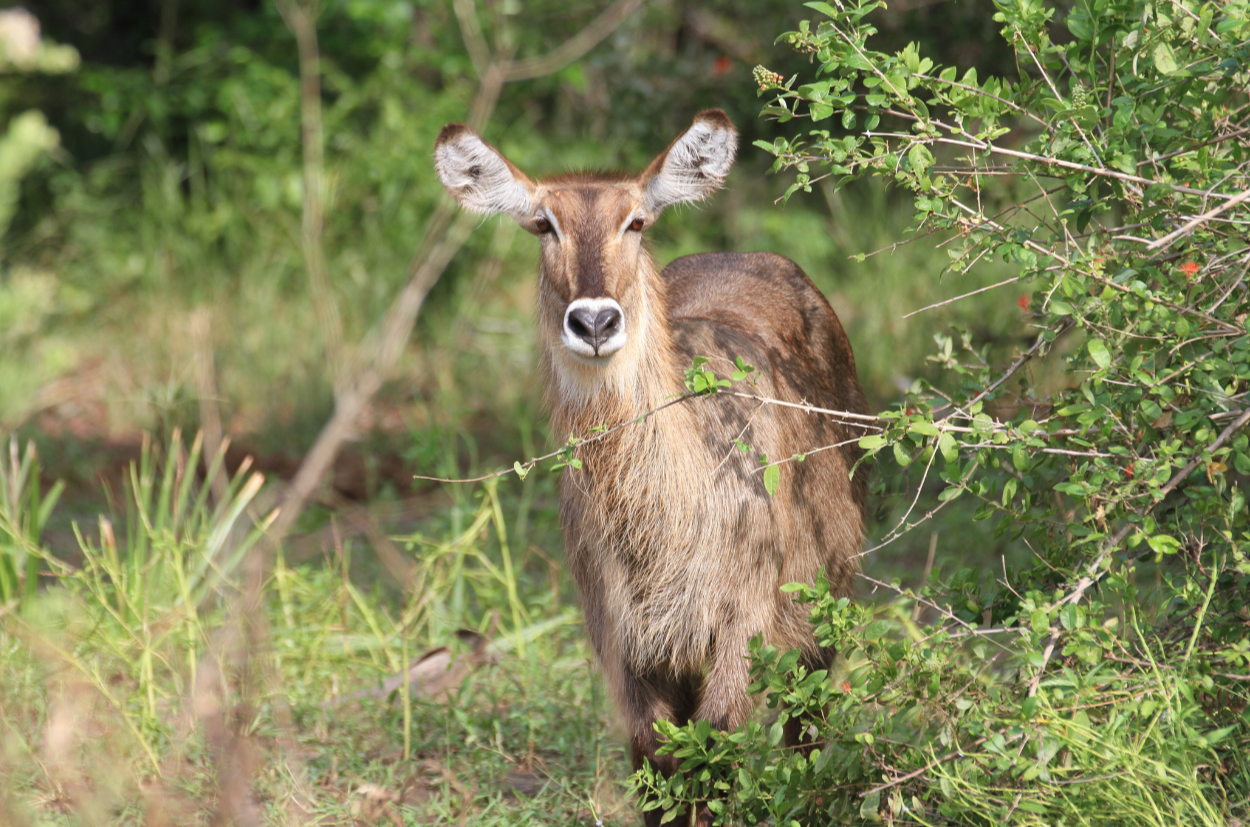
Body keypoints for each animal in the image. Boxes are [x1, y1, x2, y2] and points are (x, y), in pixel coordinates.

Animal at [434, 110, 869, 826]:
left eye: (635, 221)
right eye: (543, 224)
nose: (593, 321)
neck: (661, 529)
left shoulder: (741, 627)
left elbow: (717, 758)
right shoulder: (626, 645)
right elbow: (657, 769)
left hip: (823, 604)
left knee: (807, 725)